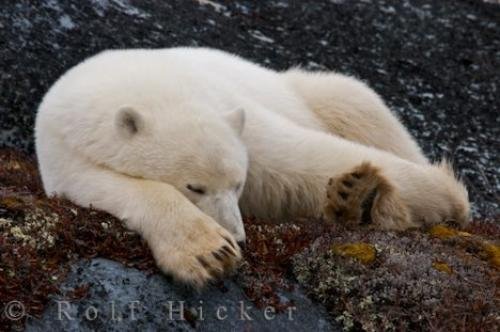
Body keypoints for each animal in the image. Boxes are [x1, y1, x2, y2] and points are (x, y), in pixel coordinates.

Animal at [35, 47, 468, 288]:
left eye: (238, 185)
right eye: (194, 187)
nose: (239, 236)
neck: (146, 85)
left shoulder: (234, 113)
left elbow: (297, 161)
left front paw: (438, 193)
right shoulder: (63, 151)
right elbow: (103, 187)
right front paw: (208, 253)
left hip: (305, 91)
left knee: (355, 102)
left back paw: (362, 195)